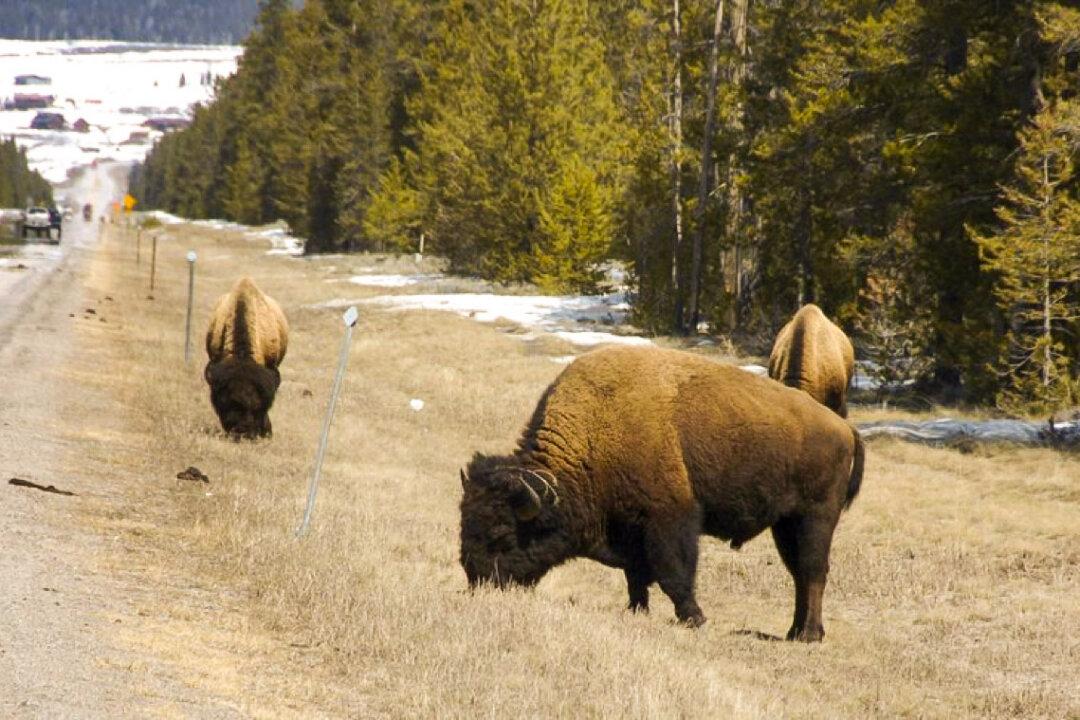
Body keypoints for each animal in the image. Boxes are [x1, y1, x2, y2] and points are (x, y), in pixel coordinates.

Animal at [460, 345, 864, 643]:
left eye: (502, 534)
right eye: (465, 525)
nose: (476, 579)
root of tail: (844, 428)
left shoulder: (669, 519)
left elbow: (672, 573)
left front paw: (695, 618)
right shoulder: (630, 531)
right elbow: (637, 577)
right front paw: (636, 611)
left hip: (815, 517)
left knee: (813, 571)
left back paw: (808, 636)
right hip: (785, 525)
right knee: (799, 574)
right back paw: (795, 631)